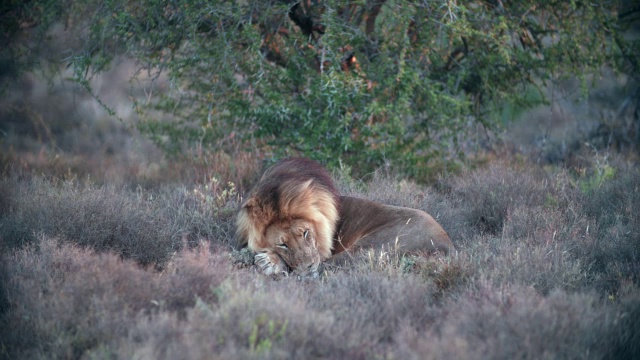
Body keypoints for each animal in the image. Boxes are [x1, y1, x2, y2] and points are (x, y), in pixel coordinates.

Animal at [236, 156, 456, 278]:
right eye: (282, 244)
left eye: (306, 233)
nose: (308, 266)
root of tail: (447, 246)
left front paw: (270, 261)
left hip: (370, 246)